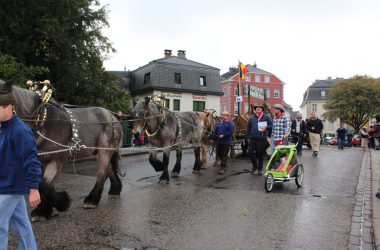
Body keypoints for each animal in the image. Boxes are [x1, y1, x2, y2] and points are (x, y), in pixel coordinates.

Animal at [0, 80, 123, 221]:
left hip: (104, 150)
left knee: (101, 173)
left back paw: (92, 200)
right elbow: (42, 186)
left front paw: (63, 202)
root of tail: (114, 117)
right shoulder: (40, 160)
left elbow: (46, 185)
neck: (42, 119)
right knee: (109, 169)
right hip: (102, 151)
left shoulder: (57, 158)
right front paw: (44, 210)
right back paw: (115, 191)